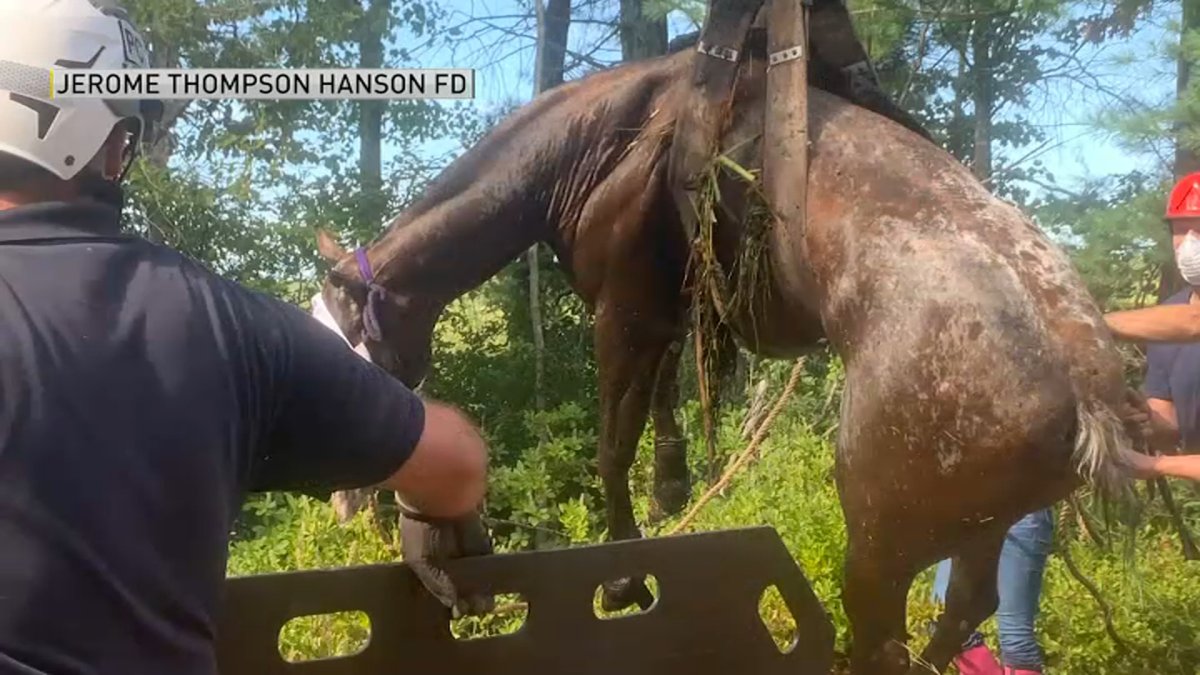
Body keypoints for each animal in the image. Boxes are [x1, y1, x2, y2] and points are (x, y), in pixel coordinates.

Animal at [312, 31, 1139, 675]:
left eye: (352, 336)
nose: (344, 500)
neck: (608, 136)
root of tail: (1091, 397)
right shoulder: (668, 316)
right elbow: (660, 412)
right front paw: (671, 492)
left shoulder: (624, 313)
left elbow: (612, 448)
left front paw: (625, 583)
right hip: (980, 524)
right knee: (969, 603)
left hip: (882, 537)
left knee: (884, 634)